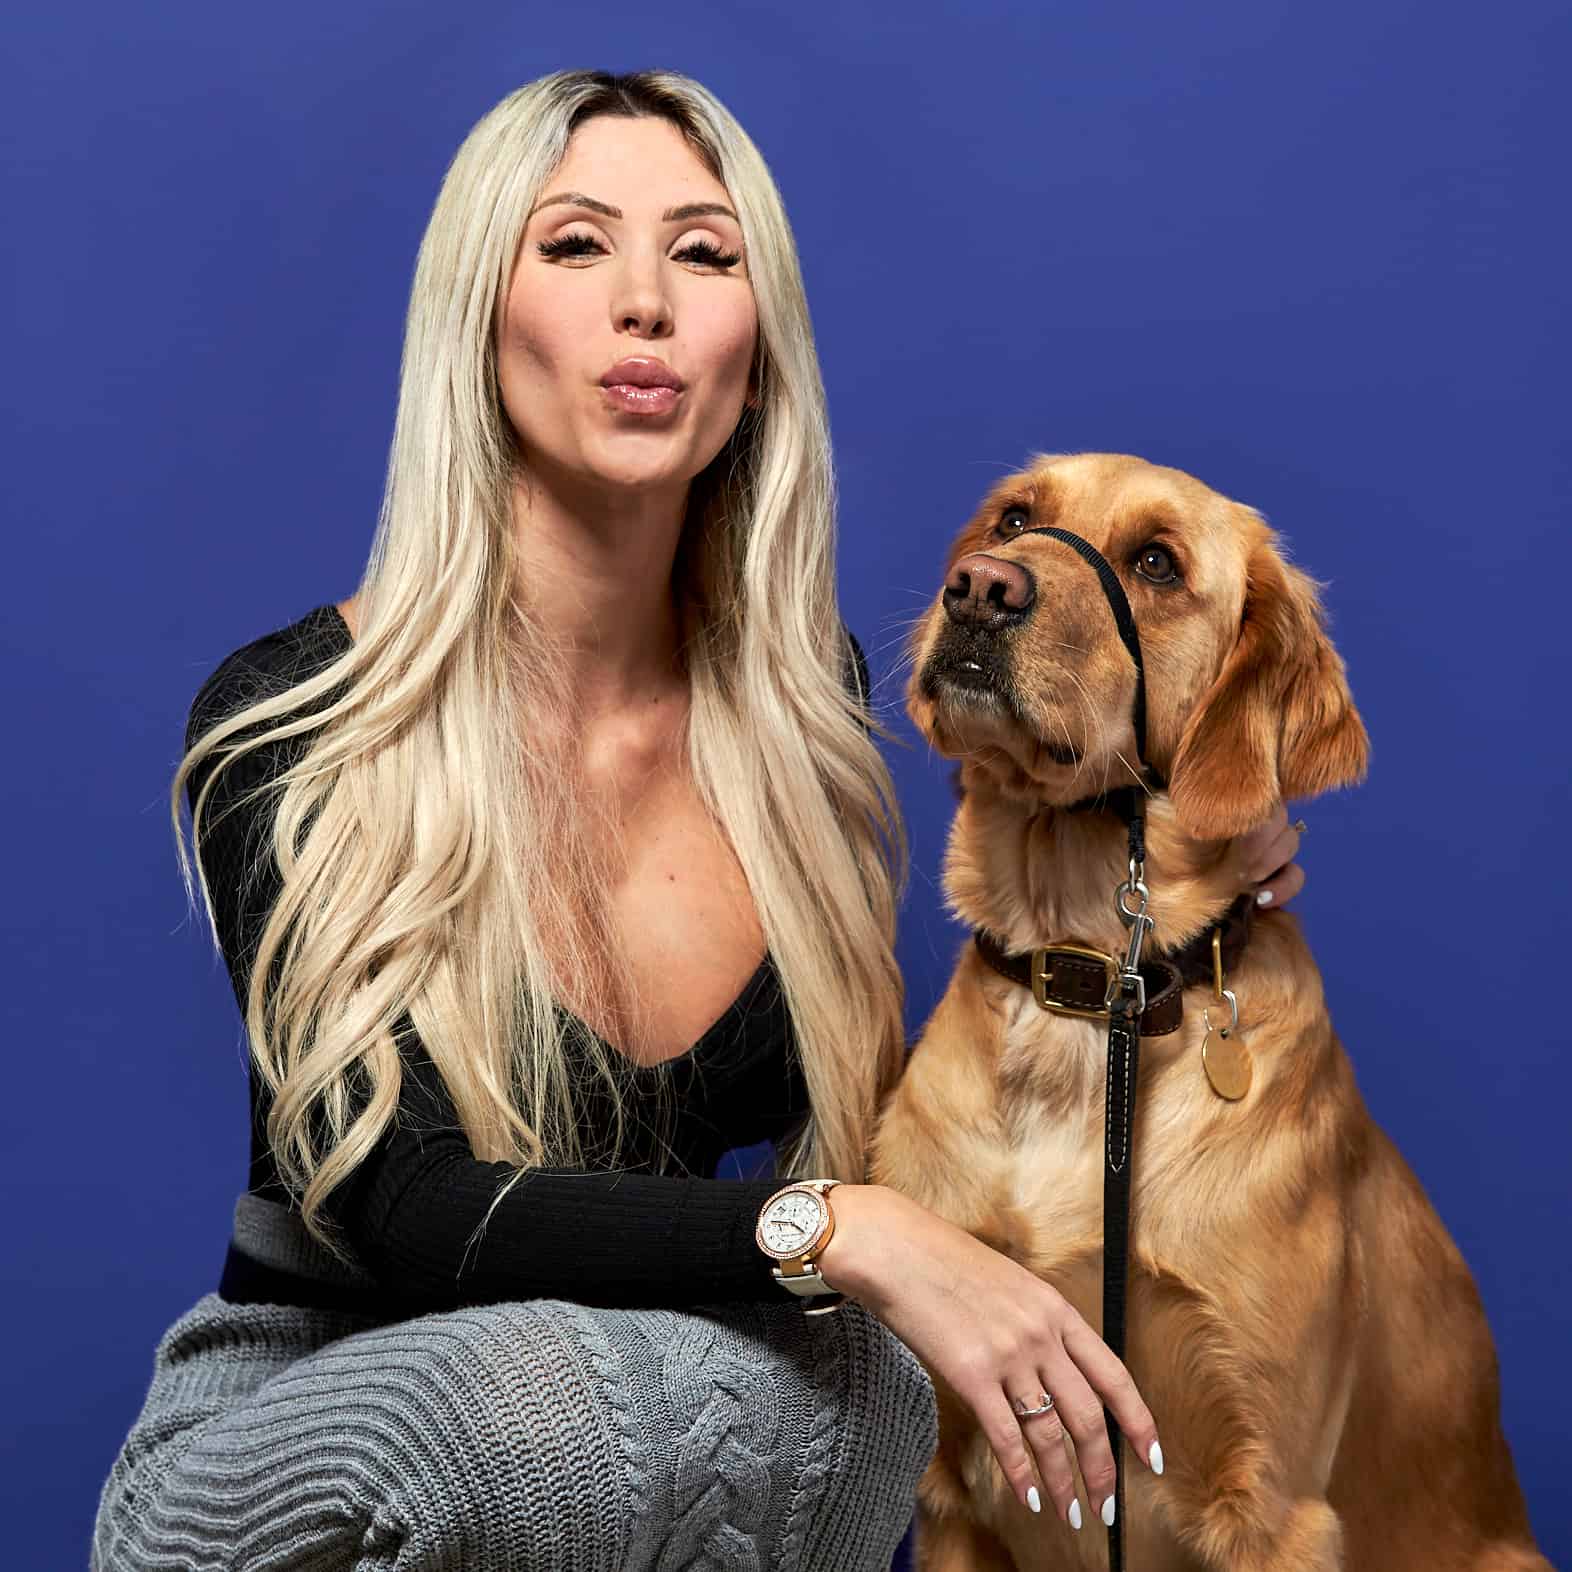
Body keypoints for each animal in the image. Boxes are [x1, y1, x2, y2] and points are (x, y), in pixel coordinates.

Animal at [870, 452, 1550, 1571]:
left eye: (1157, 564)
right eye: (1013, 519)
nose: (979, 588)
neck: (1093, 993)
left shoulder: (1268, 1499)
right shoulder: (955, 1480)